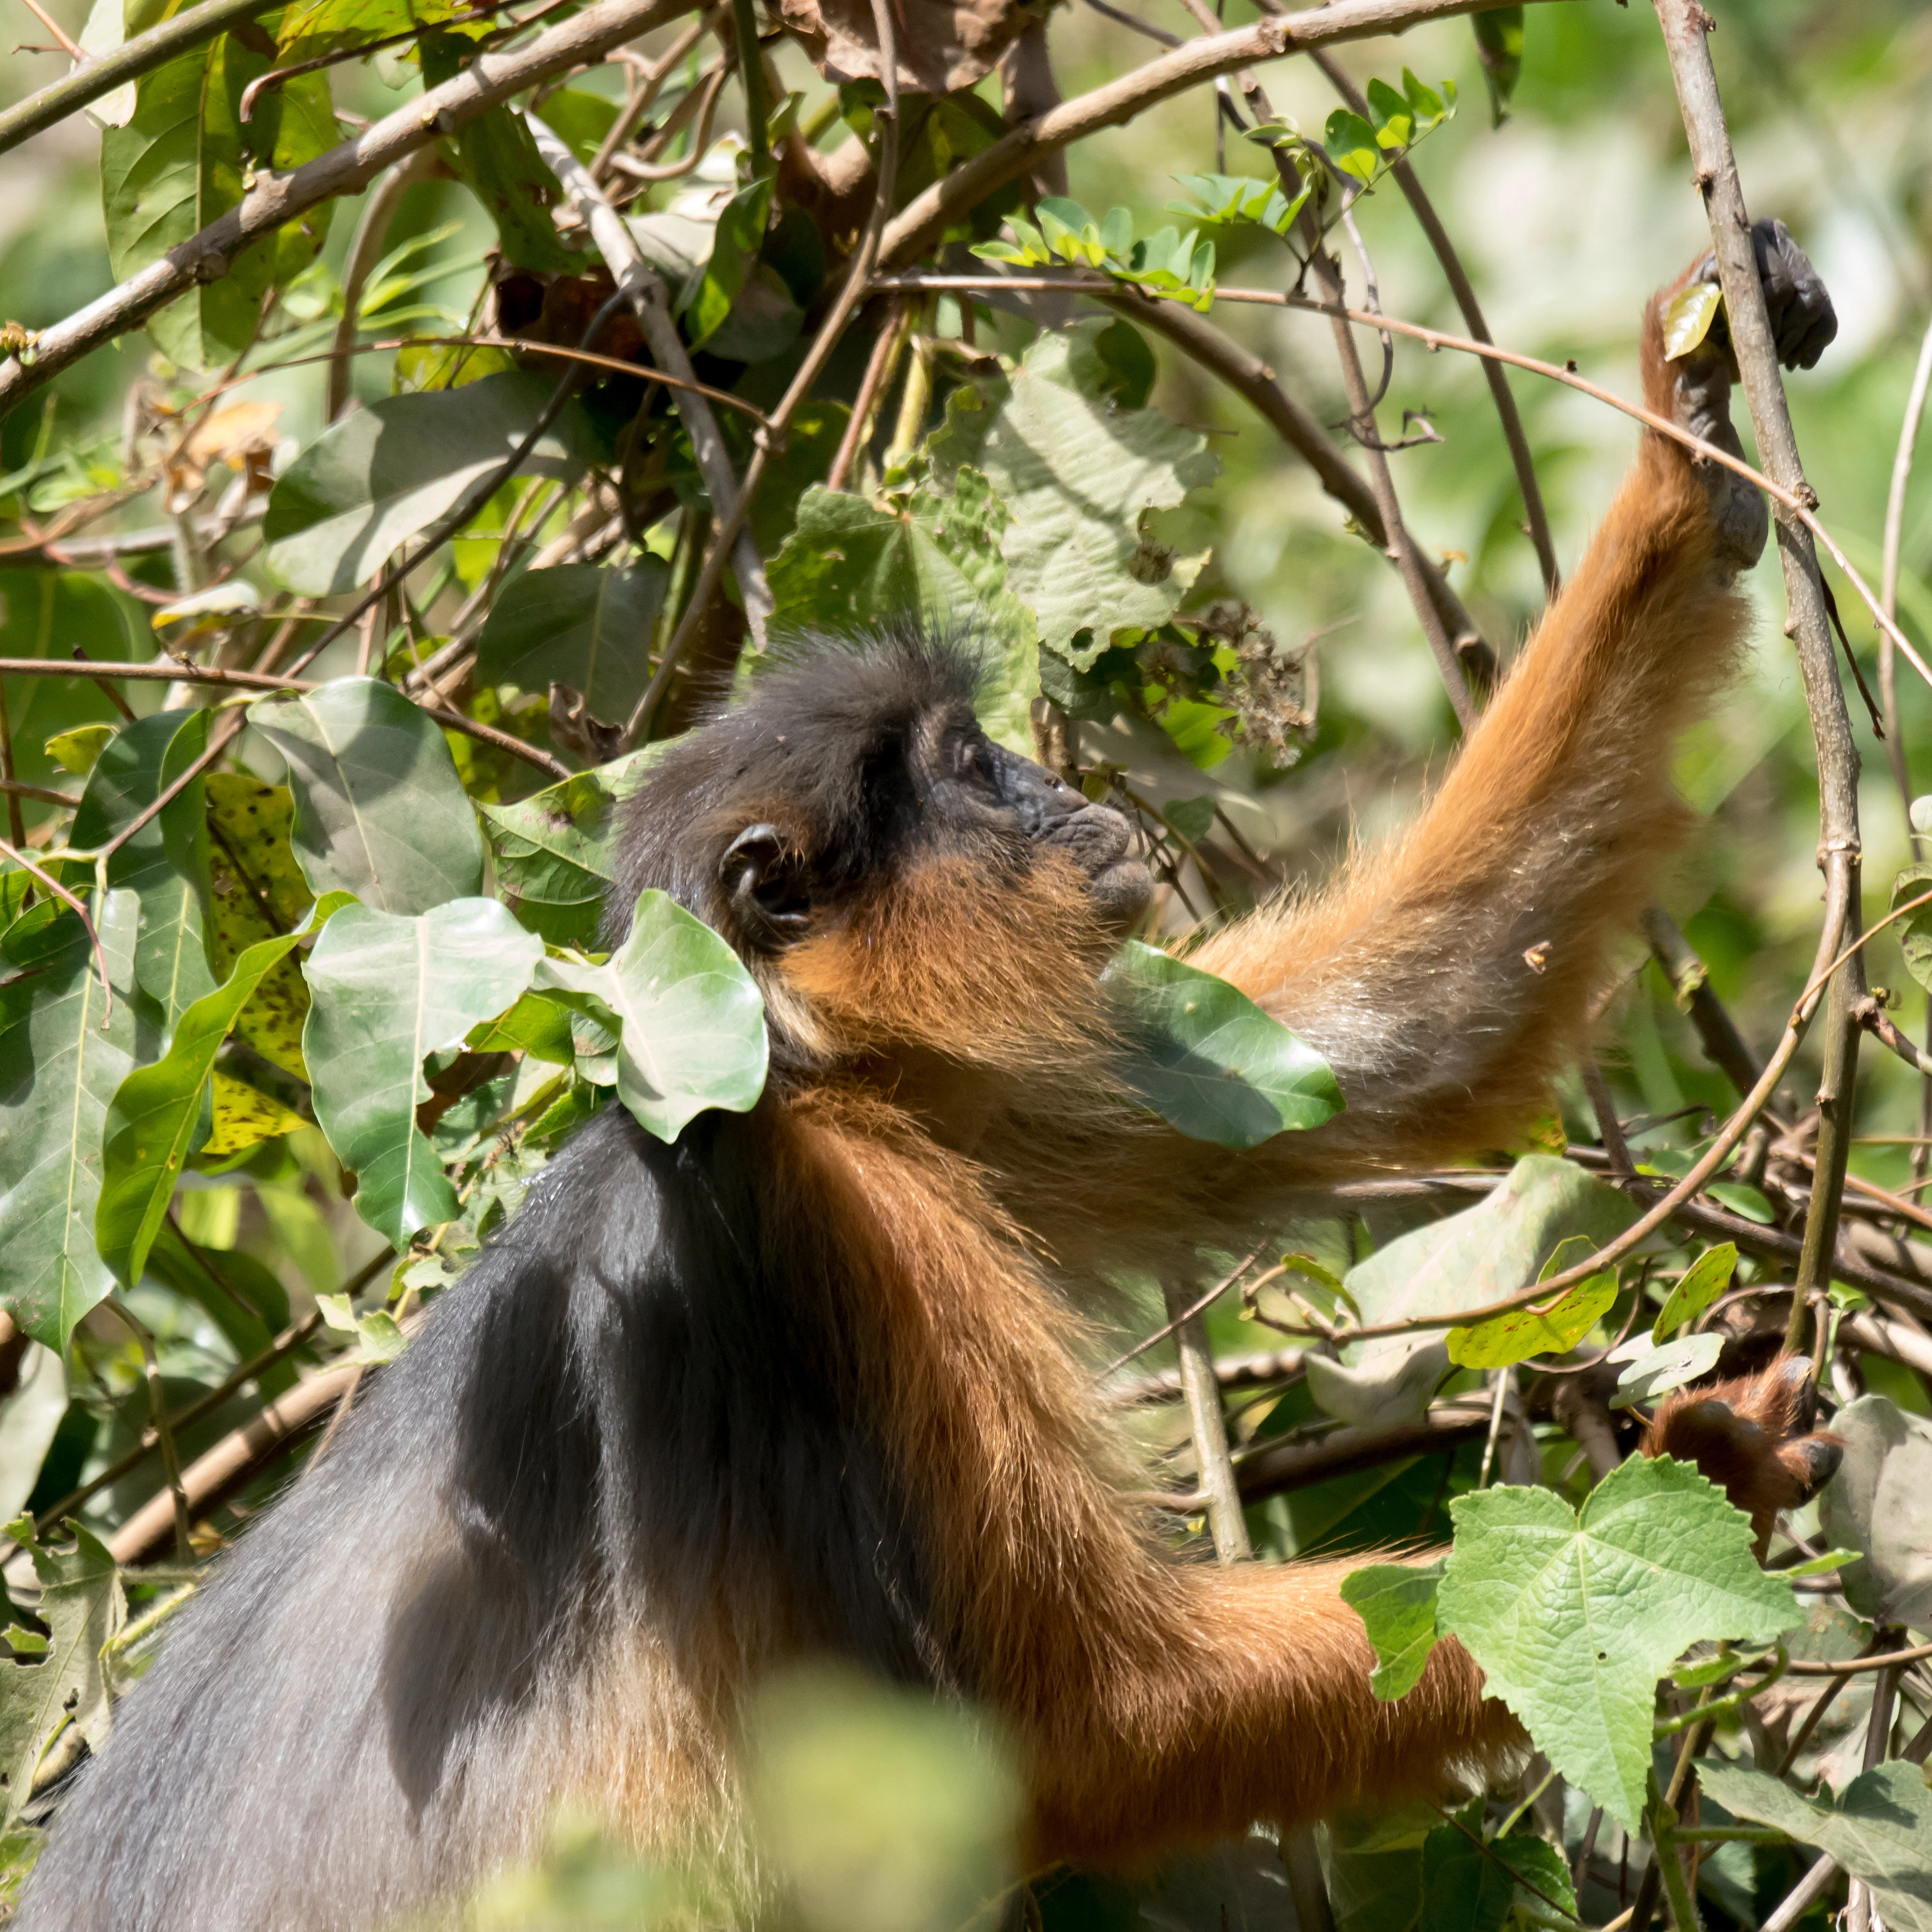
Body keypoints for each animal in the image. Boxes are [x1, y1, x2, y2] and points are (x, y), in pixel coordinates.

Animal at [17, 222, 1843, 1930]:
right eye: (971, 771)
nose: (1059, 792)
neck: (782, 1075)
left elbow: (1414, 1024)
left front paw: (1692, 431)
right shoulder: (858, 1219)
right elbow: (1087, 1722)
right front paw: (1704, 1495)